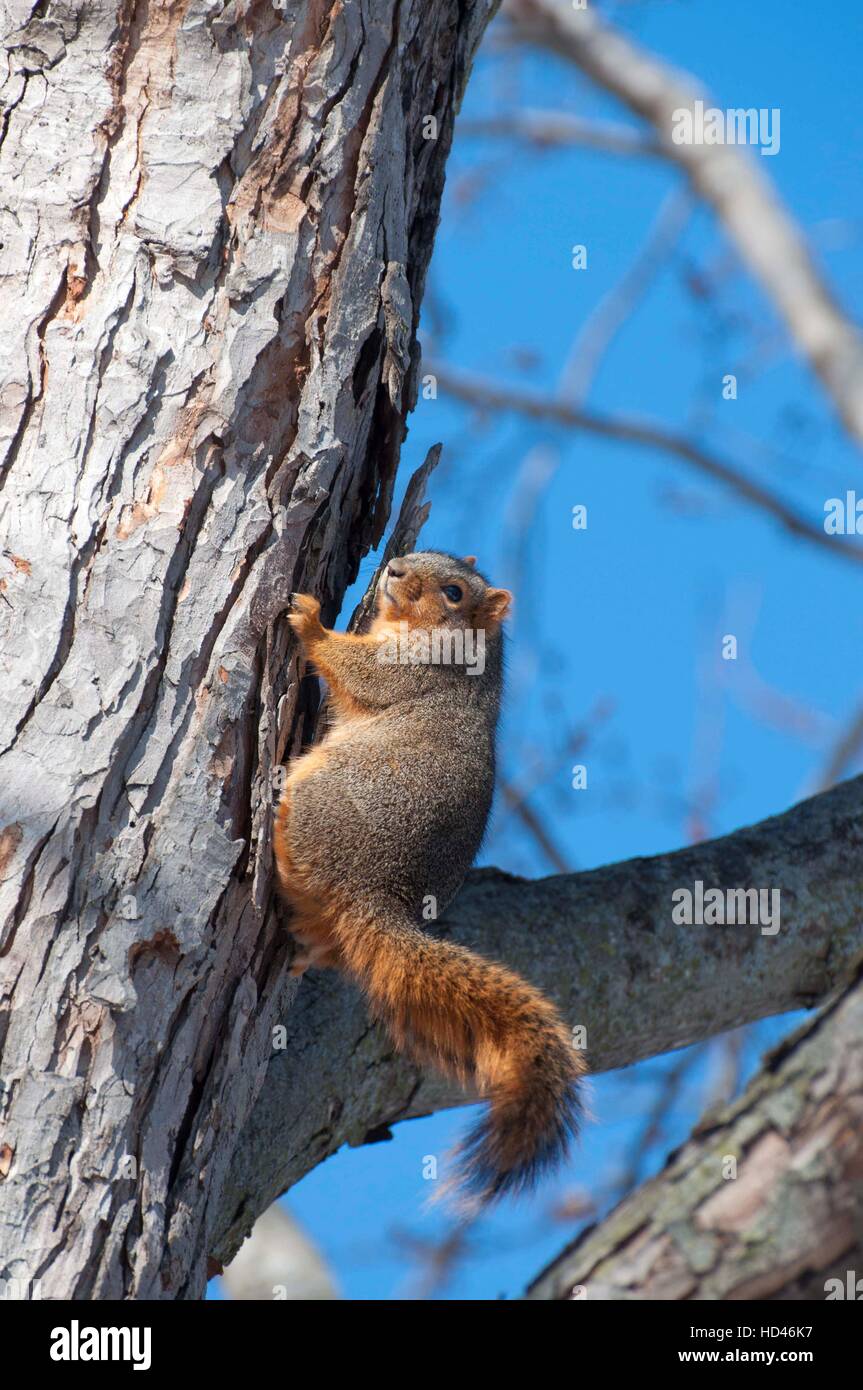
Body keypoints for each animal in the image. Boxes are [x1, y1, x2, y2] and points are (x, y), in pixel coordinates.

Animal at [273, 547, 586, 1200]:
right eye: (426, 555)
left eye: (453, 592)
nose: (391, 569)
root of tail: (376, 895)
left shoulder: (419, 672)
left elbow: (360, 670)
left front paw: (312, 621)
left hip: (326, 801)